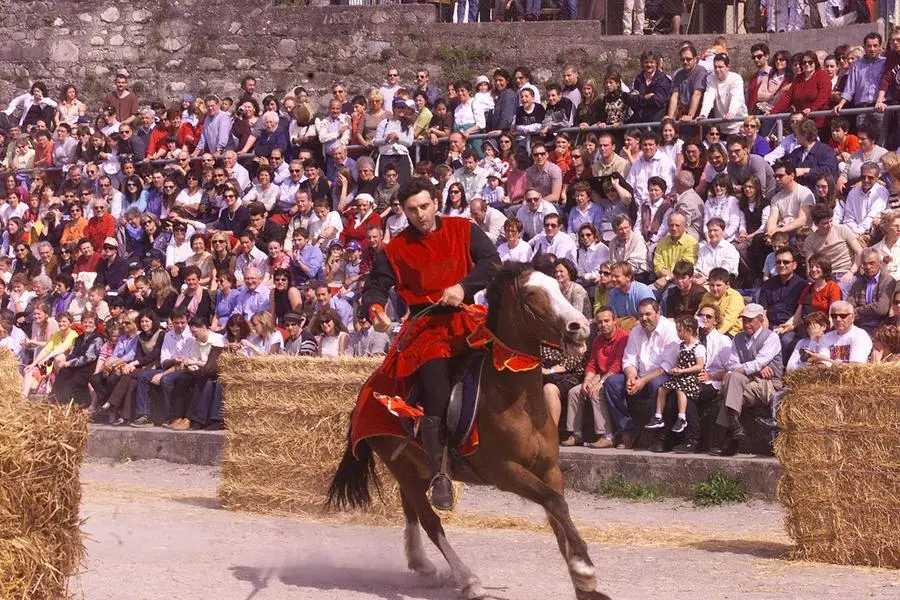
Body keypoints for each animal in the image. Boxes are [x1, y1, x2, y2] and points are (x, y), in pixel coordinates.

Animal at [326, 262, 616, 600]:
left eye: (559, 286)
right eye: (531, 293)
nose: (579, 326)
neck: (517, 398)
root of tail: (366, 389)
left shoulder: (549, 469)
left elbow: (559, 516)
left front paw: (584, 583)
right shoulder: (503, 471)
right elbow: (555, 504)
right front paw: (584, 570)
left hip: (414, 465)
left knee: (410, 507)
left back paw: (423, 565)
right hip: (401, 465)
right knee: (430, 520)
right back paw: (467, 579)